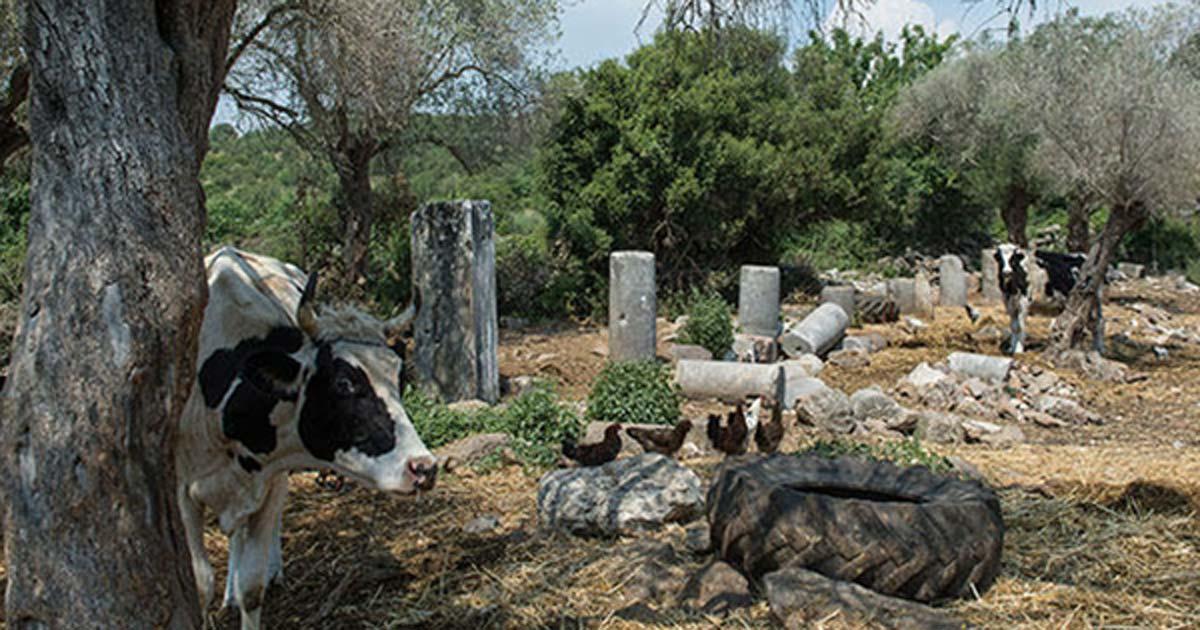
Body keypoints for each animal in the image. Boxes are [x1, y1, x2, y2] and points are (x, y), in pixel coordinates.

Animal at [177, 247, 436, 630]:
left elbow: (252, 587)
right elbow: (199, 584)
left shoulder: (270, 480)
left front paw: (251, 586)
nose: (424, 468)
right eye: (343, 383)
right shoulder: (181, 491)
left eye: (399, 378)